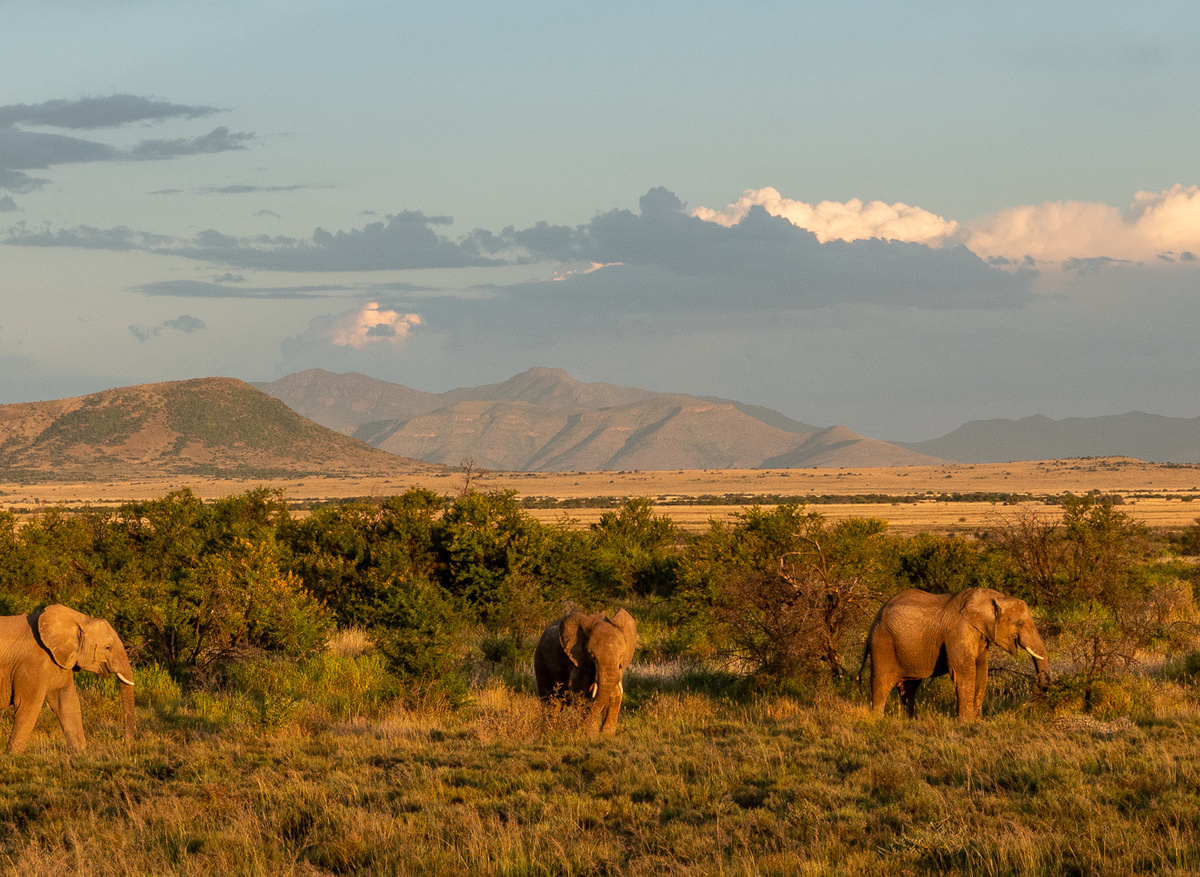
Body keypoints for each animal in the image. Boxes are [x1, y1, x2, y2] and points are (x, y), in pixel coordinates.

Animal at [0, 604, 136, 754]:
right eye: (108, 647)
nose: (126, 747)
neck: (78, 618)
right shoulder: (32, 664)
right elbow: (28, 705)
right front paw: (13, 755)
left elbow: (67, 703)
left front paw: (79, 753)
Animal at [859, 587, 1049, 722]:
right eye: (1020, 623)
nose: (1036, 686)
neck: (995, 597)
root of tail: (874, 620)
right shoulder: (958, 631)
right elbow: (965, 672)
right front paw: (965, 723)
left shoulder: (980, 635)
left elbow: (981, 672)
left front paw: (977, 722)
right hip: (883, 643)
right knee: (882, 682)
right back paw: (878, 719)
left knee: (909, 687)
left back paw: (913, 721)